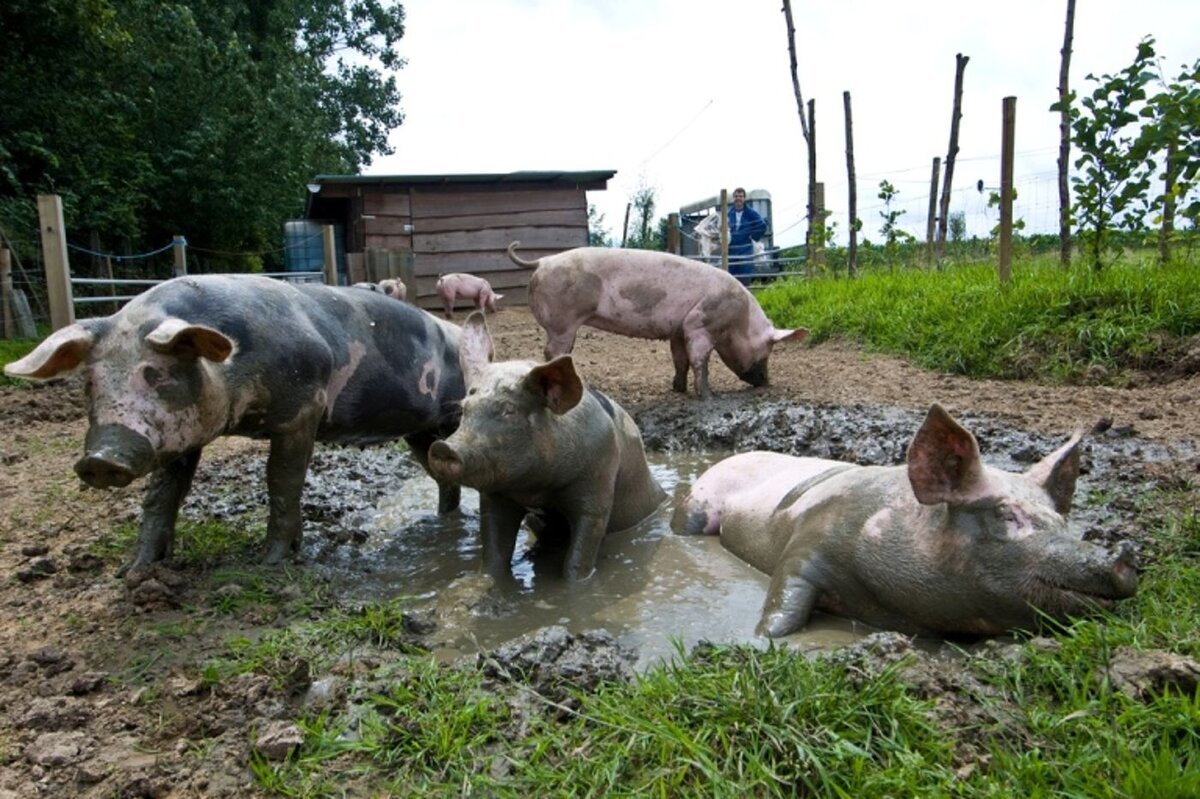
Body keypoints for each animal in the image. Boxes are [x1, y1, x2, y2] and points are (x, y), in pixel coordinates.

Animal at [3, 273, 463, 573]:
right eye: (89, 383)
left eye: (158, 375)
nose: (100, 459)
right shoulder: (183, 437)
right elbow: (163, 494)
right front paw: (134, 573)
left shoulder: (303, 409)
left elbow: (282, 481)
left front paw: (269, 561)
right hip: (420, 432)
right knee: (441, 472)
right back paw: (444, 517)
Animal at [427, 309, 667, 578]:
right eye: (464, 408)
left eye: (509, 410)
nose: (443, 447)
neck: (536, 489)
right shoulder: (495, 496)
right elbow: (494, 551)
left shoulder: (598, 482)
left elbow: (581, 550)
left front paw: (573, 584)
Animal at [506, 237, 806, 395]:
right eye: (768, 349)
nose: (766, 382)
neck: (739, 319)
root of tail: (543, 261)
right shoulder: (699, 324)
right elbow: (700, 360)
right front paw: (707, 396)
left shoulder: (678, 330)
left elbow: (680, 360)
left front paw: (678, 390)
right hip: (563, 322)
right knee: (553, 351)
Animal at [676, 405, 1132, 633]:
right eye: (1004, 514)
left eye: (1060, 519)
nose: (1120, 558)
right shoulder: (810, 539)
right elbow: (784, 601)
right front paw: (763, 639)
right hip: (695, 509)